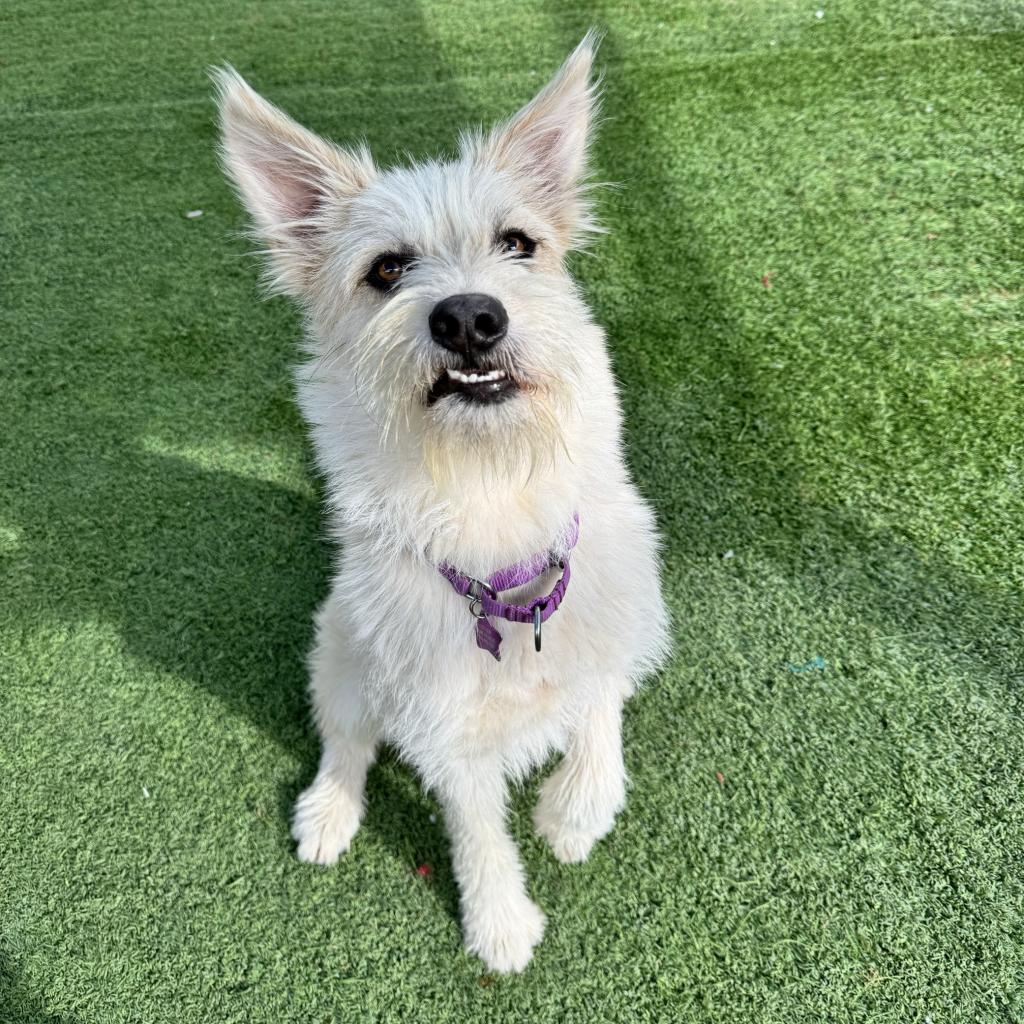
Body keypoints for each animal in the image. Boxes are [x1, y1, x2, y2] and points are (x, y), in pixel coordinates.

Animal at [214, 32, 671, 970]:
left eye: (519, 243)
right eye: (387, 269)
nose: (469, 318)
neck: (487, 484)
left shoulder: (617, 616)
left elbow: (600, 707)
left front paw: (574, 816)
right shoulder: (443, 725)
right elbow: (476, 829)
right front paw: (499, 924)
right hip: (341, 657)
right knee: (345, 744)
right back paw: (327, 813)